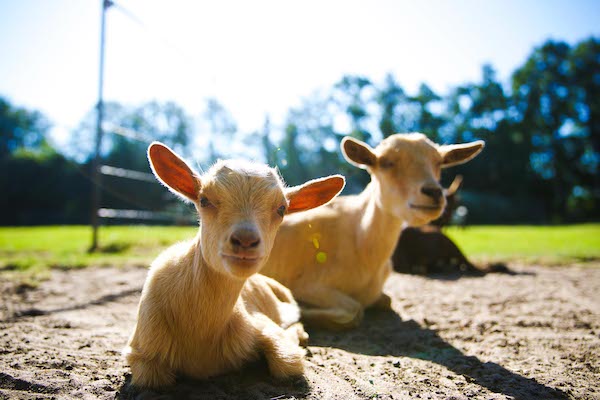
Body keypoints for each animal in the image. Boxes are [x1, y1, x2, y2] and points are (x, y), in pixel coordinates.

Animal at [124, 142, 344, 390]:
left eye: (281, 209)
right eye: (204, 200)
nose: (245, 240)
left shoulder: (263, 325)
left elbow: (288, 363)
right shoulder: (142, 350)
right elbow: (151, 377)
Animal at [262, 133, 482, 330]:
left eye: (439, 162)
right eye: (386, 162)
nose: (434, 192)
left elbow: (386, 301)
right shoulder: (307, 284)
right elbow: (354, 310)